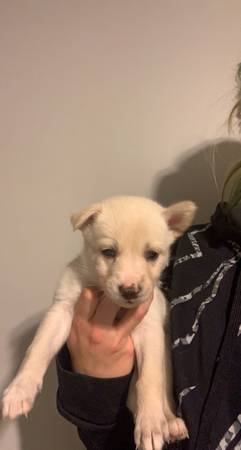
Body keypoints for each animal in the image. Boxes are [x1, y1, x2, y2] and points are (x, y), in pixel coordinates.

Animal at [1, 196, 196, 450]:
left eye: (152, 255)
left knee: (163, 396)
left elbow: (150, 380)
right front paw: (19, 390)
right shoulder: (61, 310)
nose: (130, 290)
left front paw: (152, 424)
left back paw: (170, 422)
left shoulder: (150, 330)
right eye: (108, 252)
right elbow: (38, 349)